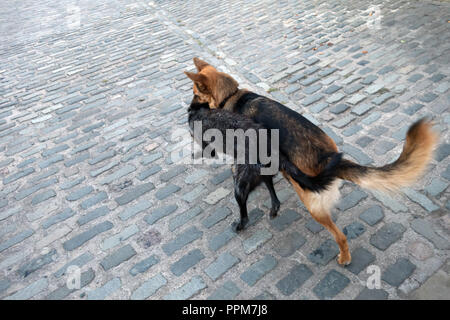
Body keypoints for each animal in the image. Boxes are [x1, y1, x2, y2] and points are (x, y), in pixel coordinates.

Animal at [188, 94, 340, 230]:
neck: (202, 112)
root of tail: (272, 150)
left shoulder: (203, 142)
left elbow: (206, 150)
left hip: (240, 184)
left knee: (245, 214)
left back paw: (239, 226)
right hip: (263, 175)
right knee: (275, 198)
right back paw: (273, 209)